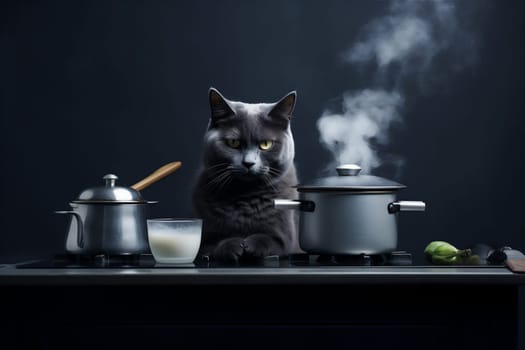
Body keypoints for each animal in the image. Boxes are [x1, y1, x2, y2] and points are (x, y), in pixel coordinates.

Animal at [191, 88, 298, 266]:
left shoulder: (286, 240)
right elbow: (214, 245)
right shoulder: (205, 239)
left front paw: (252, 246)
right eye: (233, 142)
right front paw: (233, 246)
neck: (246, 198)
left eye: (266, 144)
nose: (248, 163)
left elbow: (270, 240)